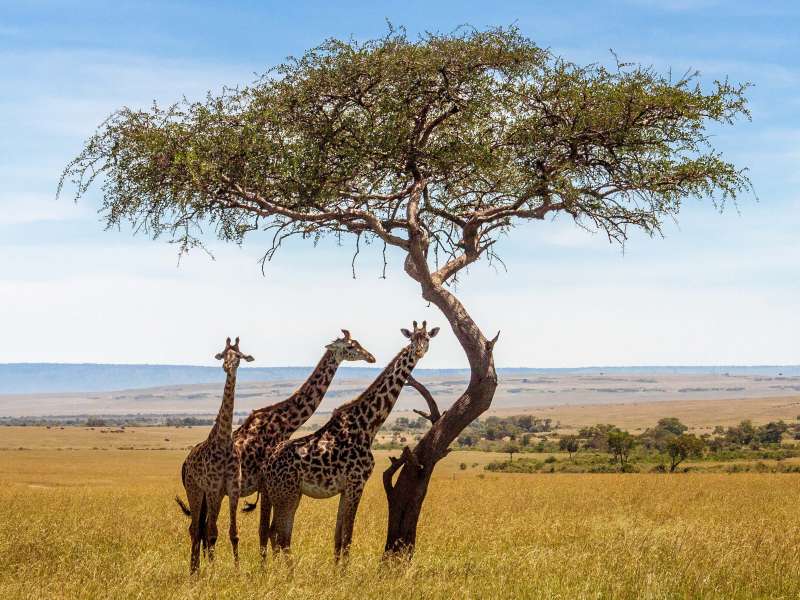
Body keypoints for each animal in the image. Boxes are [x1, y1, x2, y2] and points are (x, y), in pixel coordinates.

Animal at [176, 336, 253, 574]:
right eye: (223, 354)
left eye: (239, 356)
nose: (228, 366)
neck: (224, 442)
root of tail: (185, 463)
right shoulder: (211, 487)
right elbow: (211, 533)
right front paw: (212, 572)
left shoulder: (231, 489)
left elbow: (233, 533)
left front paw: (237, 571)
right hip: (195, 490)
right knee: (196, 528)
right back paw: (194, 571)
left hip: (213, 495)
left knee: (203, 527)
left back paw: (197, 568)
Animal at [258, 321, 439, 562]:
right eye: (412, 338)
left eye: (426, 338)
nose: (418, 351)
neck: (368, 425)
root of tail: (266, 466)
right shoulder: (357, 482)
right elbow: (348, 536)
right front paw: (345, 571)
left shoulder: (345, 488)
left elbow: (338, 537)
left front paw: (336, 569)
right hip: (286, 493)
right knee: (281, 536)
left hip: (281, 493)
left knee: (273, 533)